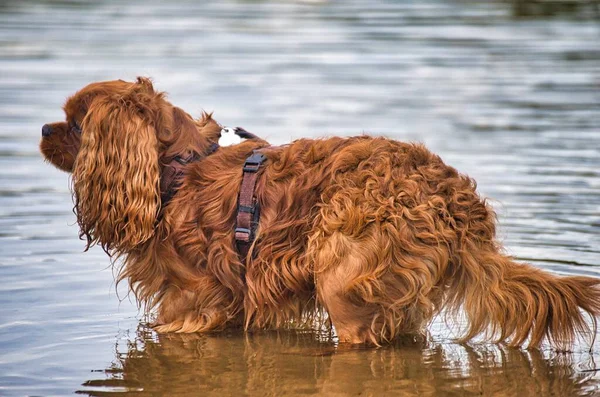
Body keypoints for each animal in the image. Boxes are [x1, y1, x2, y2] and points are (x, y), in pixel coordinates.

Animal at [39, 77, 596, 346]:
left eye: (75, 125)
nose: (43, 129)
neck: (178, 166)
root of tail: (453, 195)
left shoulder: (193, 299)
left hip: (343, 280)